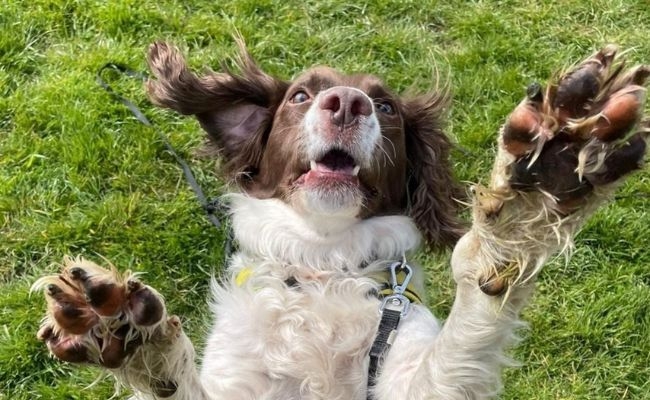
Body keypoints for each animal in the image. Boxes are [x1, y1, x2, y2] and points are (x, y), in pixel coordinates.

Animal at [33, 39, 644, 396]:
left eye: (388, 105)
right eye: (300, 96)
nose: (348, 103)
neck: (323, 263)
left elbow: (470, 320)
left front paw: (527, 203)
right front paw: (127, 331)